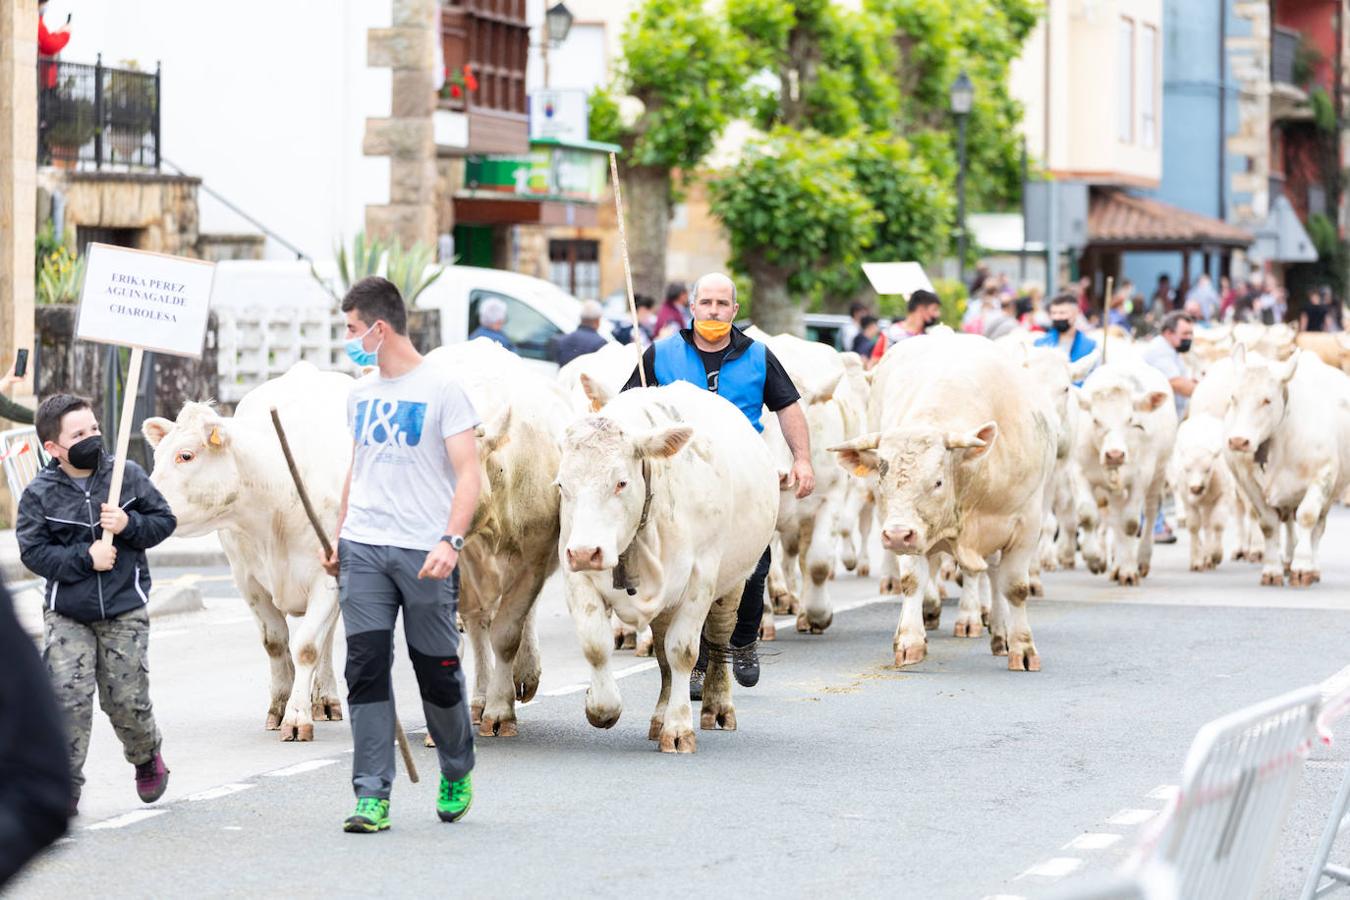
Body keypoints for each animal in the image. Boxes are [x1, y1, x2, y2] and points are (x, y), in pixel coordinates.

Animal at [142, 361, 351, 744]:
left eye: (185, 455)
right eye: (158, 455)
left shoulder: (327, 578)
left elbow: (307, 646)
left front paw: (297, 717)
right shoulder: (248, 581)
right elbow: (275, 643)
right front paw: (280, 707)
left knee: (327, 638)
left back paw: (324, 699)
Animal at [826, 334, 1058, 671]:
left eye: (937, 482)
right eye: (882, 481)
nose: (897, 535)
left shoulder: (1026, 524)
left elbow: (1014, 587)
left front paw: (1022, 647)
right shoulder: (911, 529)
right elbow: (912, 580)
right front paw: (909, 641)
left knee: (994, 575)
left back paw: (999, 632)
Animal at [1069, 361, 1177, 588]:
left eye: (1131, 420)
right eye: (1095, 420)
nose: (1115, 454)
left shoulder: (1142, 476)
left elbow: (1130, 523)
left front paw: (1128, 570)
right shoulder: (1078, 471)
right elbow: (1087, 515)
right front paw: (1095, 559)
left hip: (1158, 475)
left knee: (1150, 514)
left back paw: (1140, 560)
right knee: (1114, 518)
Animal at [1225, 348, 1350, 588]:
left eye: (1267, 400)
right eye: (1234, 397)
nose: (1238, 441)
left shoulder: (1322, 476)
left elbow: (1308, 517)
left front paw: (1302, 568)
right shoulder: (1248, 483)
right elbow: (1268, 524)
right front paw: (1272, 570)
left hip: (1330, 492)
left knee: (1317, 527)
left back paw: (1311, 567)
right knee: (1290, 522)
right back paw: (1287, 560)